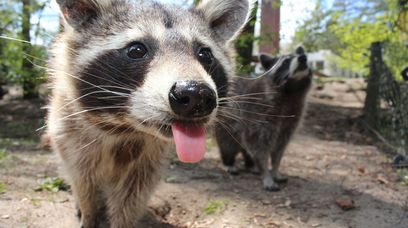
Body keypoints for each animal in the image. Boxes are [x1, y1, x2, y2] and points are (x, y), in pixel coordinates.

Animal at [47, 0, 252, 227]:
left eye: (205, 54)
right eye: (137, 50)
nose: (196, 95)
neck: (126, 128)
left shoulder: (149, 159)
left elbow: (131, 198)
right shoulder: (71, 138)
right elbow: (84, 184)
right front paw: (89, 214)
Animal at [217, 47, 312, 191]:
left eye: (303, 55)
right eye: (286, 62)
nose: (303, 58)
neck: (291, 91)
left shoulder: (291, 120)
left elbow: (279, 148)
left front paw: (275, 170)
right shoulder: (258, 114)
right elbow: (259, 147)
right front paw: (266, 173)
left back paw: (250, 164)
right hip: (228, 124)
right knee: (228, 143)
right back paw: (229, 162)